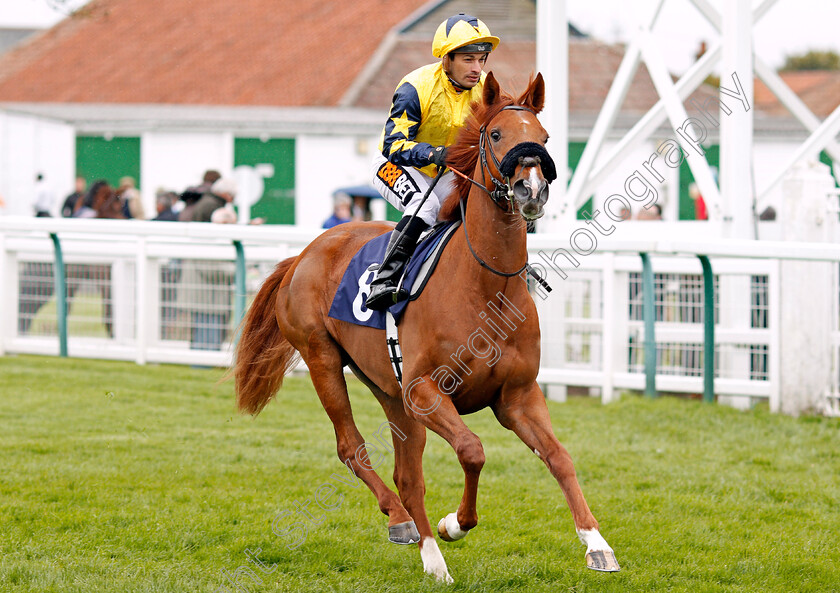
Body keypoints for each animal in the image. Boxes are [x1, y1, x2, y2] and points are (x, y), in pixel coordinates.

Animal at [233, 71, 620, 580]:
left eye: (545, 137)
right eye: (497, 135)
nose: (531, 190)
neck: (485, 286)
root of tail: (305, 253)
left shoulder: (516, 395)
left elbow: (559, 456)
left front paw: (596, 543)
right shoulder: (426, 391)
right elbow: (473, 450)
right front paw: (454, 523)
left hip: (388, 387)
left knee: (406, 473)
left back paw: (426, 550)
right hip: (324, 359)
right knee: (353, 448)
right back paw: (409, 529)